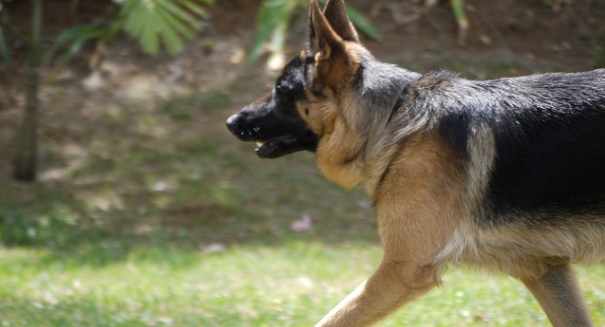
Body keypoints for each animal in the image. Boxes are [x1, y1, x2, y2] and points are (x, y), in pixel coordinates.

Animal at [225, 0, 604, 326]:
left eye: (282, 89)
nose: (230, 121)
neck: (392, 117)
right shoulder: (544, 270)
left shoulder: (403, 269)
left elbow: (332, 320)